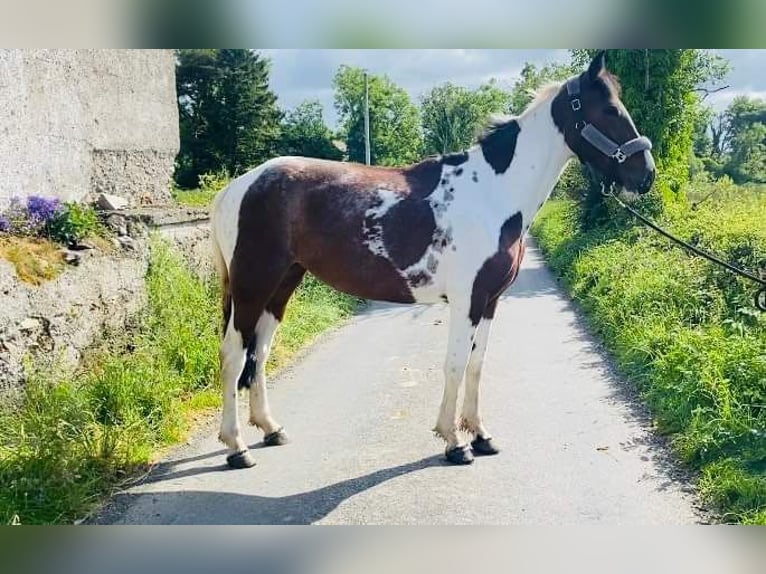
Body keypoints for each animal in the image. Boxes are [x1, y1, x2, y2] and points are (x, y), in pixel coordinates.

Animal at [213, 51, 656, 470]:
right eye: (609, 109)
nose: (646, 175)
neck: (494, 192)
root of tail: (236, 187)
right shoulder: (466, 301)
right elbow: (455, 365)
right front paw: (454, 442)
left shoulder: (489, 301)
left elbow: (476, 365)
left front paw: (481, 435)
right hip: (253, 285)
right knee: (234, 355)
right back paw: (236, 448)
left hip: (282, 284)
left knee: (260, 353)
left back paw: (271, 429)